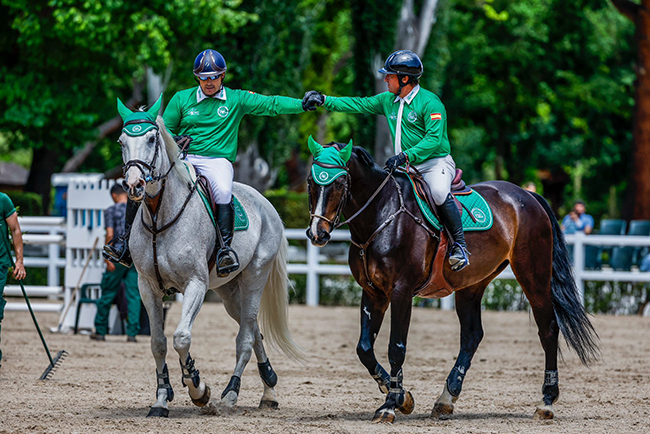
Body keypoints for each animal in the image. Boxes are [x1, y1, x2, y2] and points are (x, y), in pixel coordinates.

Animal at [117, 101, 304, 418]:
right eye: (121, 142)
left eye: (152, 139)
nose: (134, 184)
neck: (159, 216)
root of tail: (266, 204)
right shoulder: (147, 287)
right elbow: (158, 343)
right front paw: (161, 399)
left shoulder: (196, 284)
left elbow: (181, 337)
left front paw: (197, 387)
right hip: (229, 292)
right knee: (253, 331)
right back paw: (269, 389)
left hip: (254, 280)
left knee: (245, 338)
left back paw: (230, 394)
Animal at [304, 142, 596, 424]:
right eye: (310, 181)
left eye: (340, 182)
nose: (317, 234)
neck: (382, 214)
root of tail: (526, 194)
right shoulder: (373, 293)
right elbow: (364, 348)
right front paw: (400, 396)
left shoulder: (401, 292)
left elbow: (396, 348)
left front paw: (390, 404)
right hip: (471, 285)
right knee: (472, 335)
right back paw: (446, 398)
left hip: (533, 276)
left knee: (548, 329)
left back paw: (546, 401)